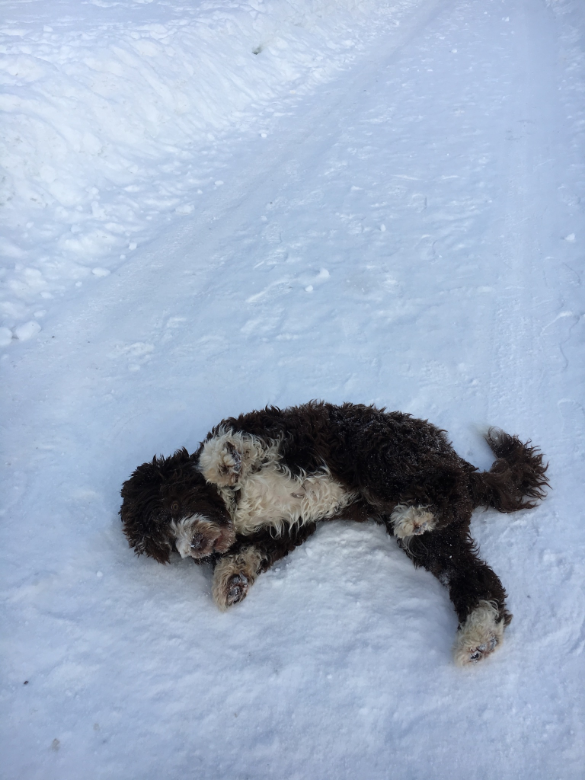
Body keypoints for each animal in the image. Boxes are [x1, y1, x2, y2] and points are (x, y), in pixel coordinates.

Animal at [120, 401, 548, 665]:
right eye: (165, 545)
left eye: (170, 509)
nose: (194, 547)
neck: (235, 507)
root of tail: (460, 463)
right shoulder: (284, 527)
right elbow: (249, 552)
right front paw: (231, 580)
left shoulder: (280, 430)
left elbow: (224, 446)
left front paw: (226, 461)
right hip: (438, 542)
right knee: (476, 577)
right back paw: (479, 639)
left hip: (384, 453)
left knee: (447, 490)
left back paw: (416, 514)